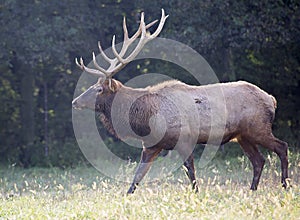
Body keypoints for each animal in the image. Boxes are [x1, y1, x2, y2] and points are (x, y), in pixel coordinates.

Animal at [72, 9, 288, 193]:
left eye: (99, 89)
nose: (75, 101)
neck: (145, 119)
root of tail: (272, 99)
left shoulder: (184, 138)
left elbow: (190, 172)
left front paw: (196, 195)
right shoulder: (150, 146)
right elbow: (137, 178)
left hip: (258, 127)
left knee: (281, 147)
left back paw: (285, 186)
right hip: (243, 135)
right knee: (259, 160)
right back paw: (252, 190)